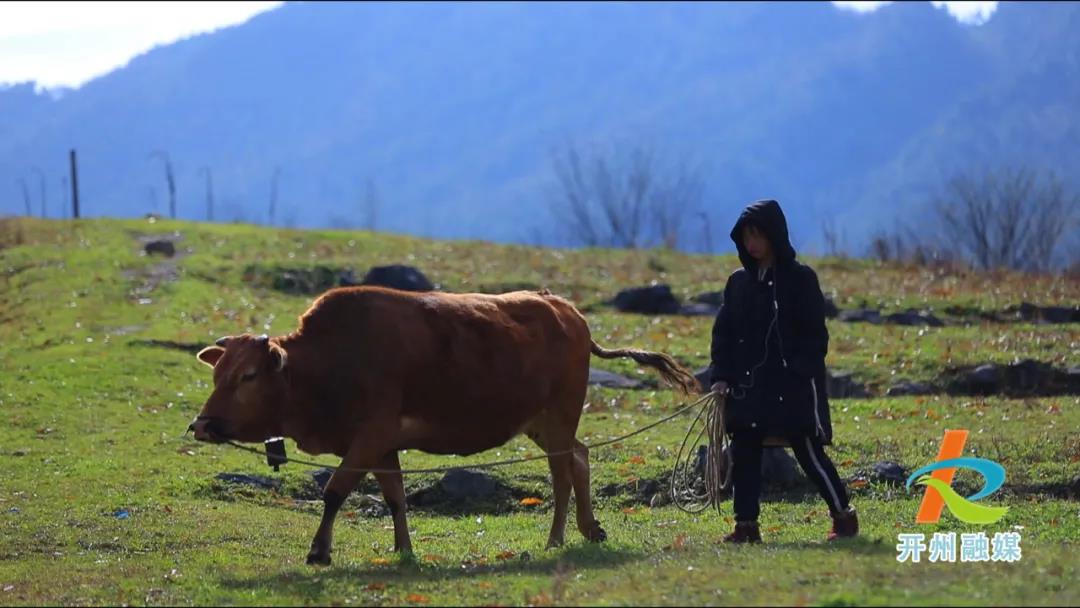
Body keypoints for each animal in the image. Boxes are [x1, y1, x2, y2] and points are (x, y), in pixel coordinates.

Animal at [190, 287, 695, 565]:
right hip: (541, 420)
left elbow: (334, 492)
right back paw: (589, 529)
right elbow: (395, 499)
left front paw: (319, 552)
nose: (202, 423)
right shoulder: (382, 444)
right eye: (217, 374)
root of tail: (565, 310)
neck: (327, 362)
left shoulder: (369, 436)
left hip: (561, 412)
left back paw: (556, 539)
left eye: (248, 376)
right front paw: (403, 549)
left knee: (562, 473)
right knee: (581, 457)